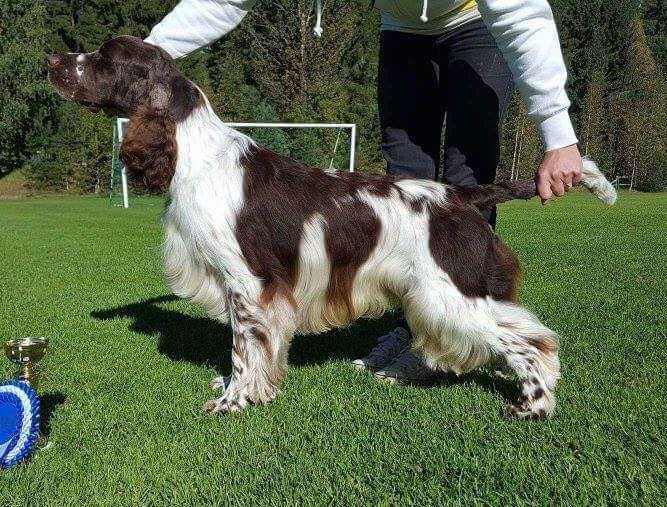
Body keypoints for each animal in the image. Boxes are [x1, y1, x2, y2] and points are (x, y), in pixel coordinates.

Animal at [49, 36, 620, 420]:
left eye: (103, 58)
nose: (51, 62)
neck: (193, 153)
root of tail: (459, 197)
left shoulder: (248, 283)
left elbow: (245, 347)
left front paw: (235, 401)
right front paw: (240, 390)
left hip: (449, 293)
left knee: (533, 341)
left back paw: (533, 405)